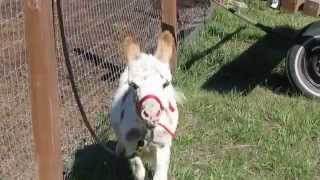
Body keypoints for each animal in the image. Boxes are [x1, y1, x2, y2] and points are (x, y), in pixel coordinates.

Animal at [111, 31, 179, 179]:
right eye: (134, 85)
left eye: (165, 84)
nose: (151, 114)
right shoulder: (131, 146)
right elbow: (139, 171)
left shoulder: (163, 145)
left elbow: (160, 175)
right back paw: (118, 150)